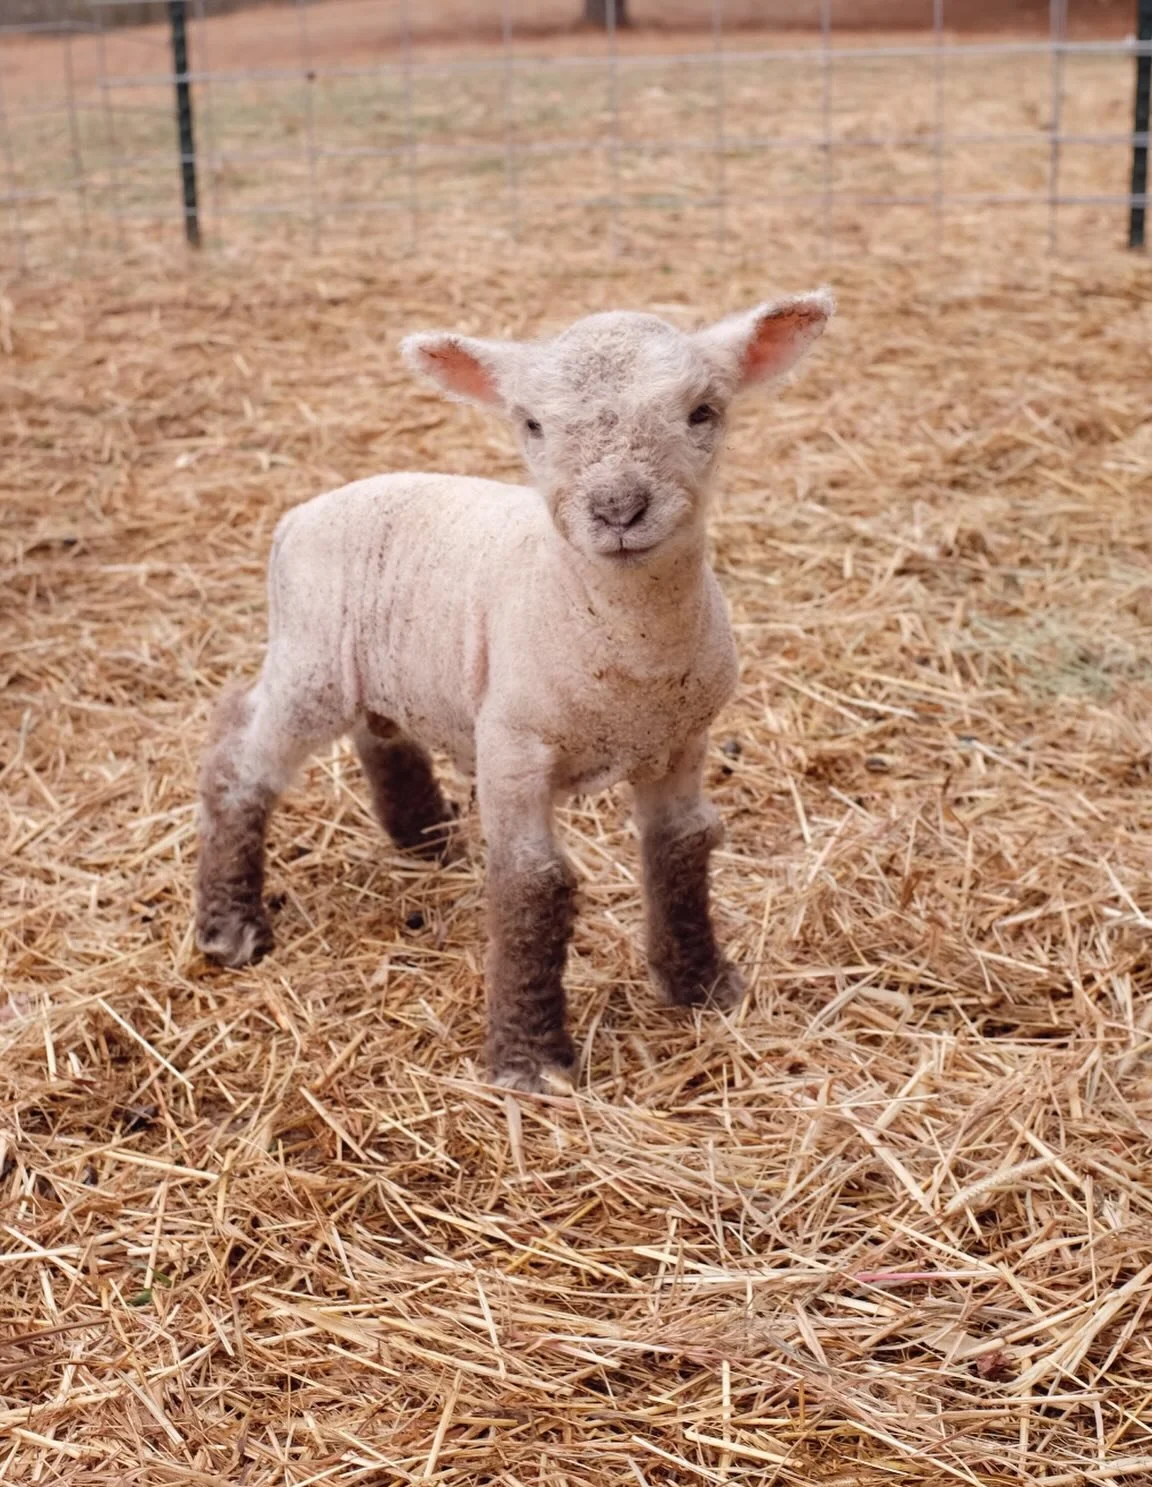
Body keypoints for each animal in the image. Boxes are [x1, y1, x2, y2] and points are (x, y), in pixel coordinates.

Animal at [195, 291, 834, 1091]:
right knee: (239, 756)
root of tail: (302, 513)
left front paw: (701, 984)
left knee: (380, 730)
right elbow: (531, 887)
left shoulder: (682, 739)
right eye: (531, 423)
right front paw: (528, 1061)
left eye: (703, 411)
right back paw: (229, 923)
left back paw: (426, 836)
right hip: (310, 666)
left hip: (388, 664)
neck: (624, 645)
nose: (618, 508)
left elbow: (683, 849)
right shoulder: (513, 748)